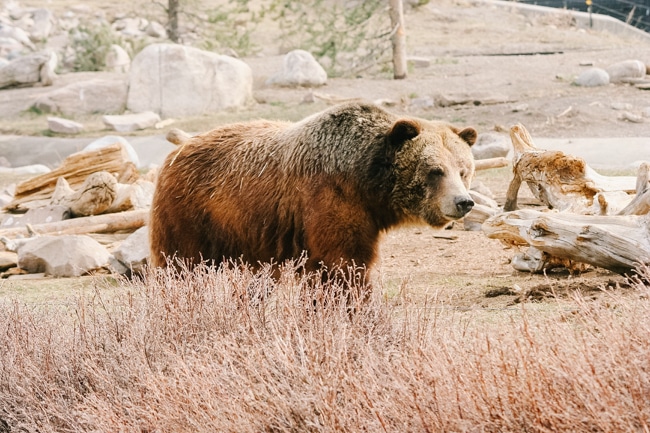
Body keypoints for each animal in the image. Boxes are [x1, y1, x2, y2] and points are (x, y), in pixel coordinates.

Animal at [149, 102, 477, 288]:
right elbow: (342, 265)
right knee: (180, 264)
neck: (366, 182)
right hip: (191, 215)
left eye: (463, 170)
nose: (464, 202)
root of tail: (176, 151)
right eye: (435, 171)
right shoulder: (330, 200)